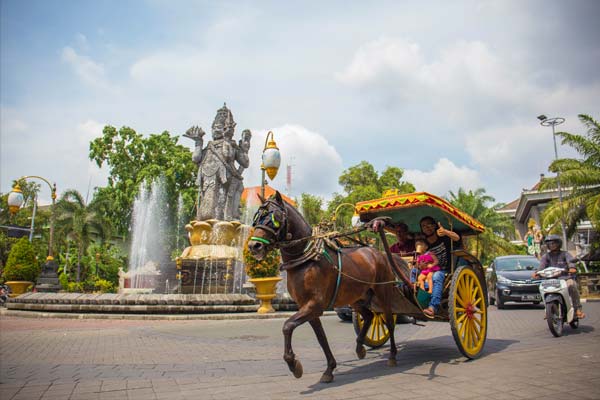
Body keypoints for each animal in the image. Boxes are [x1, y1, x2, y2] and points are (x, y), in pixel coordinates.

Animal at [248, 192, 404, 382]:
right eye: (256, 218)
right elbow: (321, 338)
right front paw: (329, 368)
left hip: (382, 291)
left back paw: (392, 355)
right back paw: (360, 347)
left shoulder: (314, 305)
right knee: (368, 316)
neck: (305, 260)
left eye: (274, 218)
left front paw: (293, 364)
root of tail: (377, 252)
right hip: (356, 297)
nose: (254, 246)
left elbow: (287, 326)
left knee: (388, 320)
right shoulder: (307, 307)